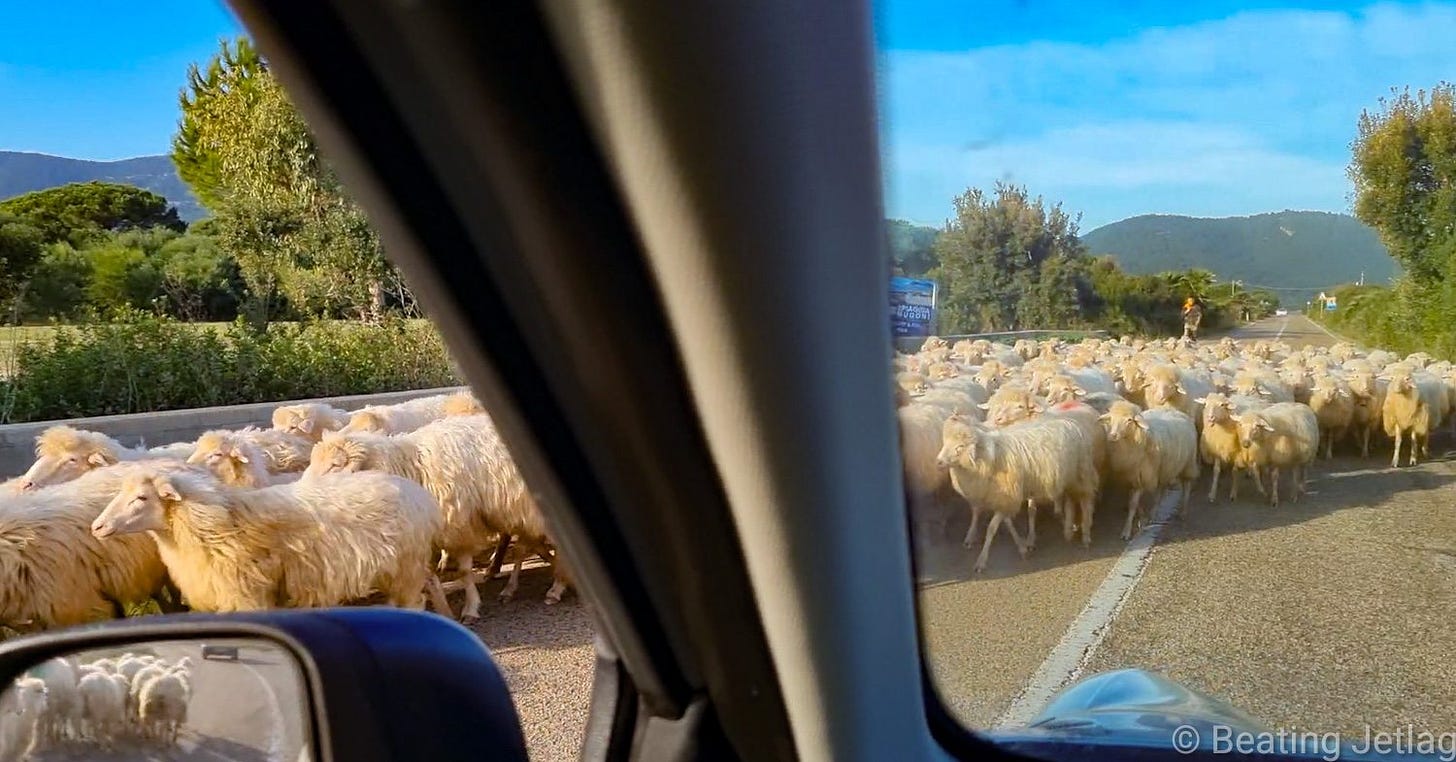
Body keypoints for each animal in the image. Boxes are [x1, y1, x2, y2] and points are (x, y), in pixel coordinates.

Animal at [92, 466, 442, 614]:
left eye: (141, 498)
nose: (97, 527)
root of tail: (421, 496)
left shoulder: (250, 596)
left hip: (406, 566)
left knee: (414, 600)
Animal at [305, 416, 567, 620]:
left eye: (335, 465)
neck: (411, 468)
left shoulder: (458, 525)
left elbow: (463, 572)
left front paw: (470, 608)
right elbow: (428, 577)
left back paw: (555, 586)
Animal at [937, 407, 1094, 568]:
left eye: (960, 447)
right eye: (945, 442)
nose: (939, 462)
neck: (988, 459)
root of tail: (1070, 423)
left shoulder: (1007, 496)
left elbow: (991, 528)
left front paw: (981, 560)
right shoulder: (1001, 498)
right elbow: (1006, 522)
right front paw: (1022, 546)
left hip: (1080, 473)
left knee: (1085, 500)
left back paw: (1085, 535)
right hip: (1067, 478)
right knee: (1070, 499)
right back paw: (1068, 529)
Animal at [1100, 402, 1193, 539]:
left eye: (1129, 420)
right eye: (1111, 418)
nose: (1112, 436)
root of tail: (1174, 410)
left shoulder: (1141, 477)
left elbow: (1133, 504)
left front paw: (1126, 531)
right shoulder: (1130, 478)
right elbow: (1134, 502)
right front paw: (1142, 518)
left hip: (1188, 463)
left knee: (1187, 485)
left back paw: (1184, 511)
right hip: (1164, 467)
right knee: (1160, 490)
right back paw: (1154, 512)